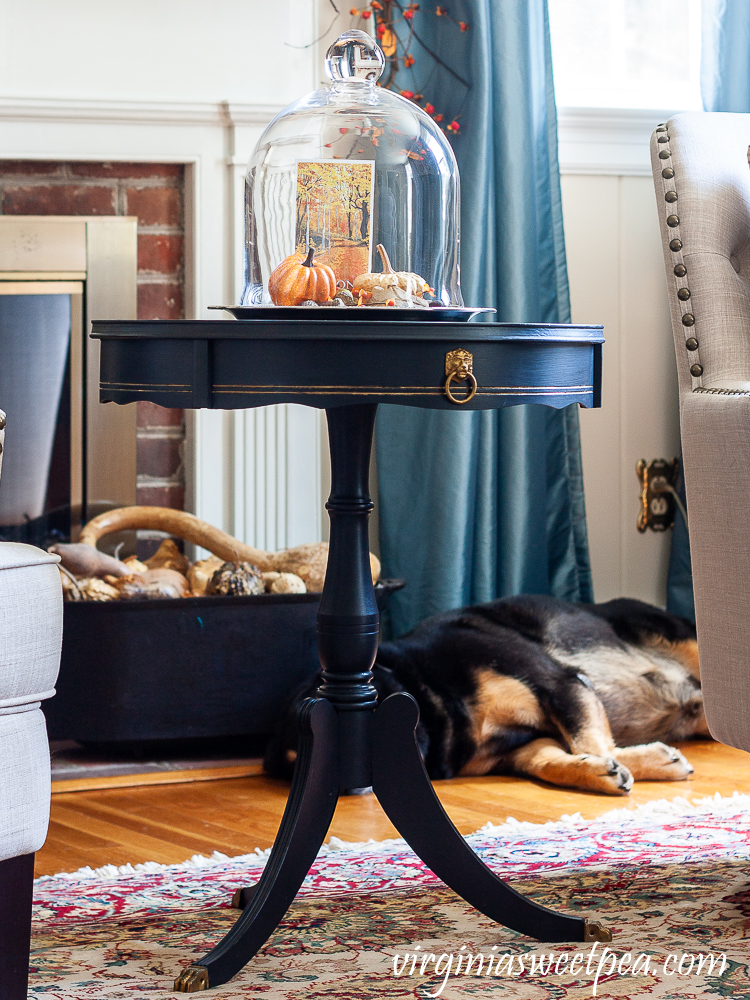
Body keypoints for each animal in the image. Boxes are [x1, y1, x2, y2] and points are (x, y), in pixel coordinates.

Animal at [266, 592, 712, 796]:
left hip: (683, 640)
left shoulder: (561, 683)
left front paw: (637, 762)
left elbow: (592, 740)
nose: (349, 789)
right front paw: (606, 771)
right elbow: (553, 762)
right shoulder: (526, 746)